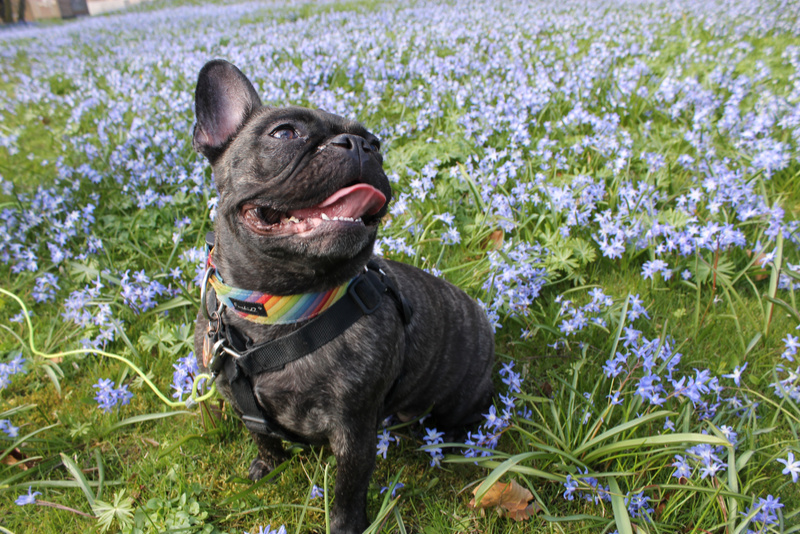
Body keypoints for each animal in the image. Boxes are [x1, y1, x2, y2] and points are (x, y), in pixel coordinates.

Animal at [194, 59, 494, 534]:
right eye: (284, 133)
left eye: (376, 143)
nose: (359, 145)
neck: (279, 309)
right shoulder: (239, 400)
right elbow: (261, 436)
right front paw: (268, 464)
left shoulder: (353, 433)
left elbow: (347, 491)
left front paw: (347, 526)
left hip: (460, 400)